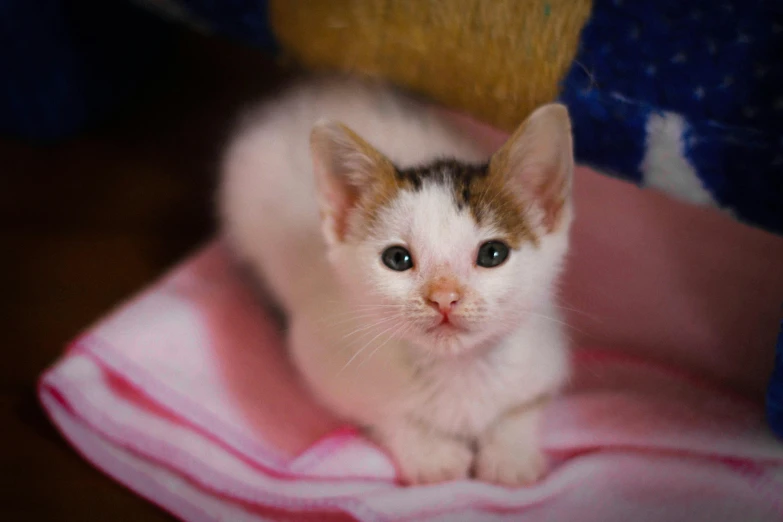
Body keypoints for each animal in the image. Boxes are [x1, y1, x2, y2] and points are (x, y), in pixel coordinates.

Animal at [220, 76, 576, 484]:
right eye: (397, 259)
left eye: (492, 254)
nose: (444, 296)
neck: (456, 368)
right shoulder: (321, 354)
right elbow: (387, 414)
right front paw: (432, 456)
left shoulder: (547, 350)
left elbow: (524, 407)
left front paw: (510, 457)